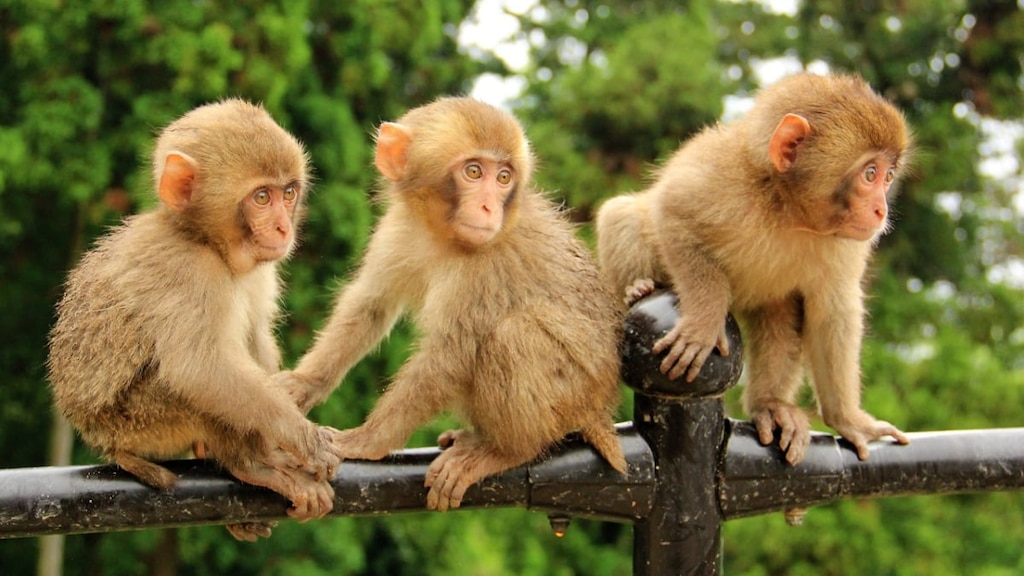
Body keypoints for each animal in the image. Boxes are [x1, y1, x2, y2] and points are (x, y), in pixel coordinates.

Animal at [47, 98, 344, 537]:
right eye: (261, 197)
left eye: (288, 193)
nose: (282, 227)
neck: (208, 243)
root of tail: (104, 441)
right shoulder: (186, 270)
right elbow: (199, 367)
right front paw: (298, 437)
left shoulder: (261, 269)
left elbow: (256, 336)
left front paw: (281, 438)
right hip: (138, 424)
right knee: (192, 386)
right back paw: (249, 464)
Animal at [272, 96, 622, 508]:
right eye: (474, 171)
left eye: (503, 178)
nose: (489, 208)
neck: (440, 235)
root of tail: (600, 407)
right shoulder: (399, 229)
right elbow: (370, 306)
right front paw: (302, 384)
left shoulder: (482, 268)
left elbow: (449, 354)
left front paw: (367, 440)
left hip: (574, 395)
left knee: (515, 334)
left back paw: (506, 450)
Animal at [598, 73, 917, 463]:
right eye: (870, 174)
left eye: (889, 177)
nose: (881, 210)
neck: (788, 208)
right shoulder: (722, 182)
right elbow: (673, 214)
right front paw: (704, 322)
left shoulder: (845, 242)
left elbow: (832, 311)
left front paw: (848, 419)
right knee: (624, 215)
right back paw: (637, 288)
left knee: (782, 313)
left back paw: (771, 405)